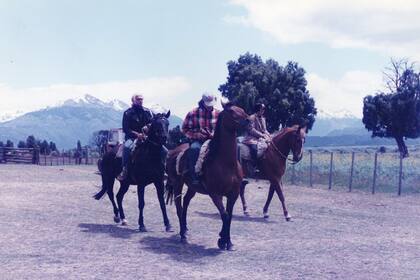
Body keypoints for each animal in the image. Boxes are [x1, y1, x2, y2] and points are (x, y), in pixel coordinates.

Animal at [164, 103, 249, 252]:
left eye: (242, 109)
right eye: (232, 111)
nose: (249, 120)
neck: (226, 163)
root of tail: (173, 152)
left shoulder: (233, 194)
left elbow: (229, 216)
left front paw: (228, 241)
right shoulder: (215, 194)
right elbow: (225, 215)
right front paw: (222, 240)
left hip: (192, 187)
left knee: (186, 202)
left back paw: (185, 229)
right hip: (177, 183)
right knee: (179, 206)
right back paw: (182, 235)